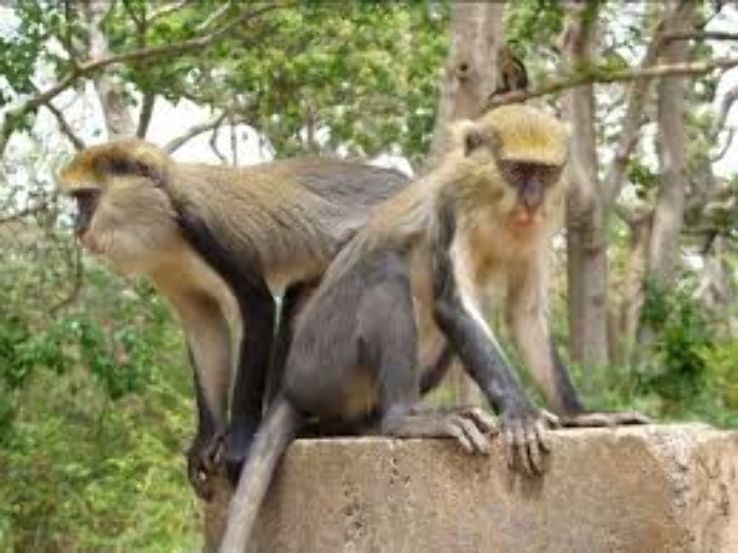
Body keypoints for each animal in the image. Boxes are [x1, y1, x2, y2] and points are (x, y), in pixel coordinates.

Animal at [56, 140, 409, 500]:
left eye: (86, 199)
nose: (78, 228)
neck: (165, 217)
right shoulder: (167, 271)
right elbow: (204, 325)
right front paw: (206, 442)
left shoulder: (206, 230)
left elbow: (257, 305)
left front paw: (239, 446)